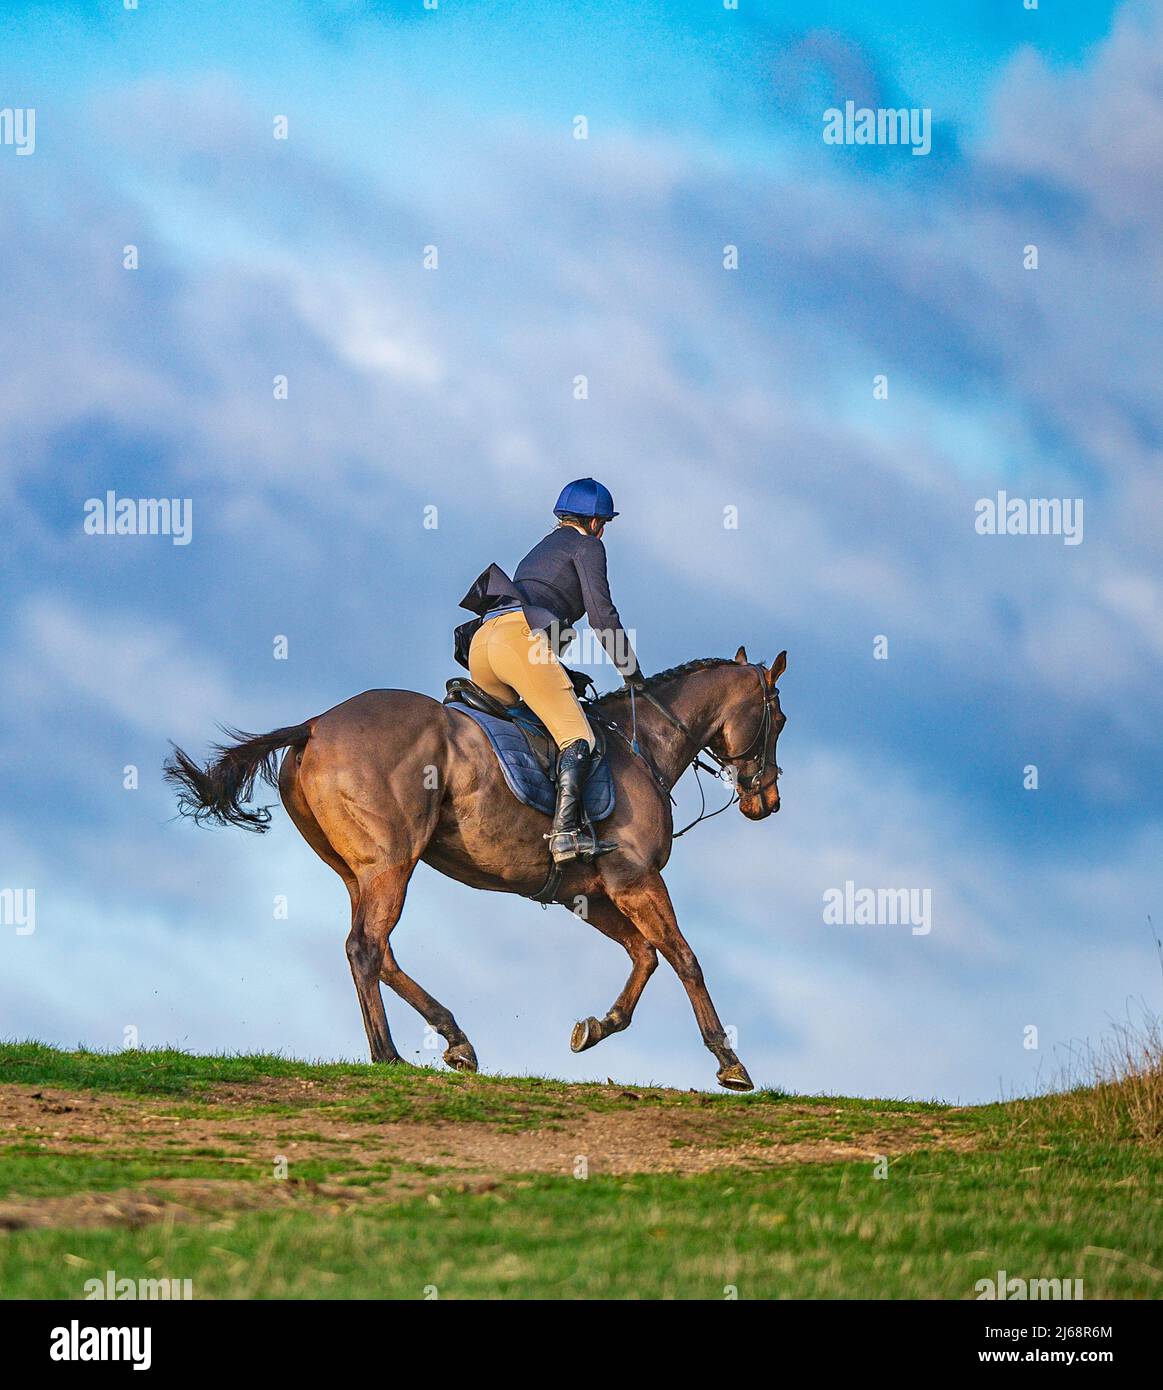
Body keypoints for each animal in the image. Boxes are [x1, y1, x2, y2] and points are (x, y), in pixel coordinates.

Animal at [163, 644, 783, 1089]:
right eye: (777, 719)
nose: (768, 801)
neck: (642, 746)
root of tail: (316, 723)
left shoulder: (588, 892)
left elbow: (645, 956)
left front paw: (596, 1027)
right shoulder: (636, 880)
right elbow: (684, 958)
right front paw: (729, 1061)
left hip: (359, 872)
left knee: (378, 950)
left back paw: (452, 1037)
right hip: (391, 862)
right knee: (365, 948)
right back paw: (389, 1054)